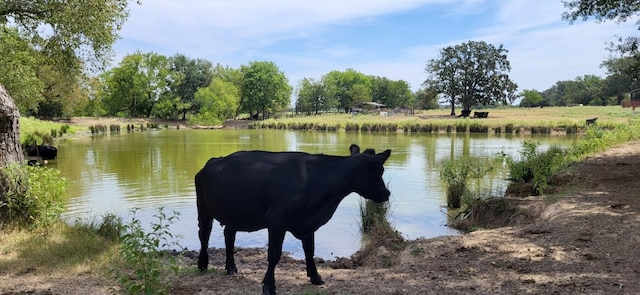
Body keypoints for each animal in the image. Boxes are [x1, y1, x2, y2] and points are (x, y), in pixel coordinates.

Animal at [195, 145, 392, 294]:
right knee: (204, 235)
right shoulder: (276, 222)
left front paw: (316, 277)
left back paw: (231, 268)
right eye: (380, 170)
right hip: (203, 209)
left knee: (229, 236)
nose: (387, 193)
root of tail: (212, 161)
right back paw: (202, 264)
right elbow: (274, 255)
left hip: (234, 214)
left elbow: (309, 251)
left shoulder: (307, 223)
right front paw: (269, 286)